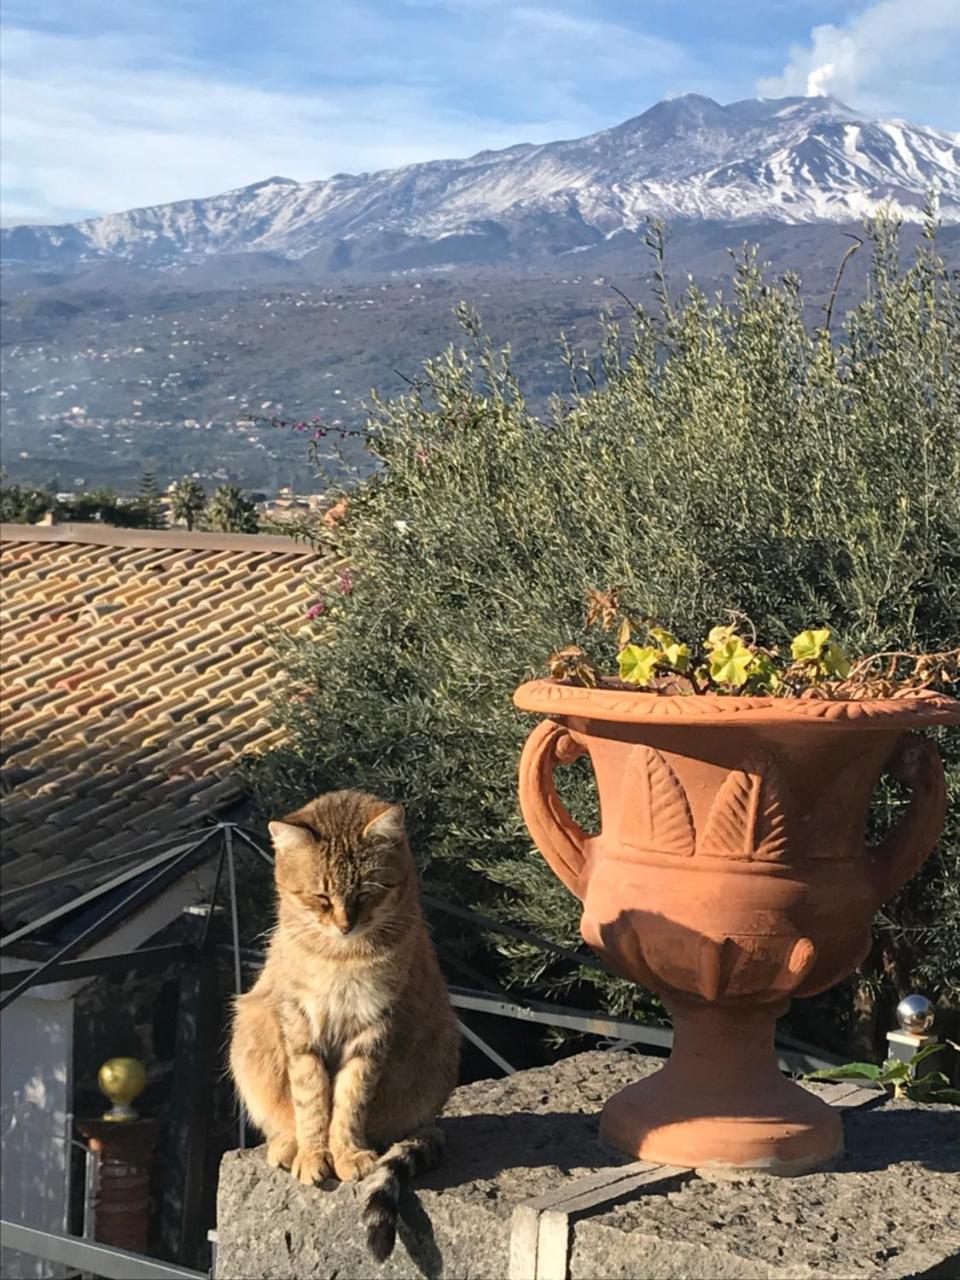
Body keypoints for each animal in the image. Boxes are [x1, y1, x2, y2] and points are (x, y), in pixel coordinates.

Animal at [231, 788, 460, 1259]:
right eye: (320, 897)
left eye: (367, 893)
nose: (343, 924)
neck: (340, 956)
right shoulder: (300, 1022)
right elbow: (311, 1099)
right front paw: (314, 1153)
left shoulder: (372, 1026)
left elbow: (351, 1099)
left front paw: (347, 1153)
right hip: (249, 1032)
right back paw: (288, 1144)